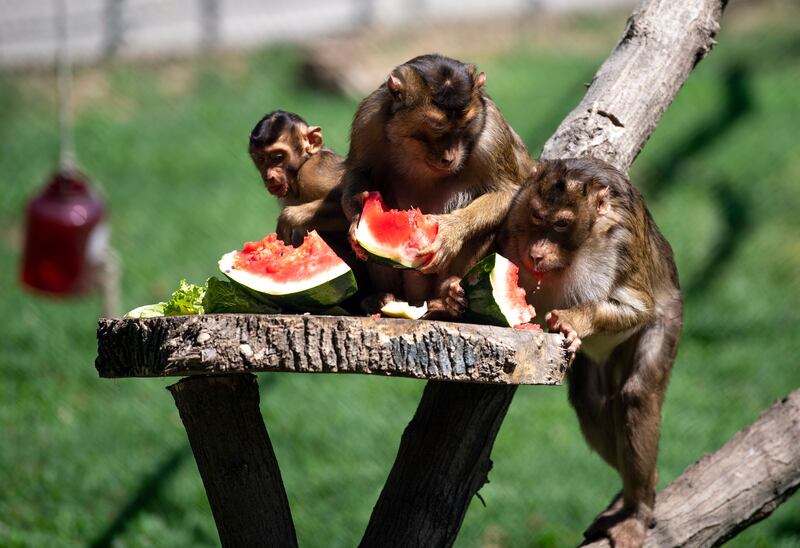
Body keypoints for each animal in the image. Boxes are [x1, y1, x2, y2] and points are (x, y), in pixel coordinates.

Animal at [340, 54, 535, 312]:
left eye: (464, 126)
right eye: (437, 127)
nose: (449, 156)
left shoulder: (492, 131)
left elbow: (506, 191)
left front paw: (451, 231)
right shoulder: (368, 119)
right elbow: (358, 170)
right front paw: (356, 212)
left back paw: (446, 298)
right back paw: (383, 297)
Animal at [446, 157, 682, 547]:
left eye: (561, 224)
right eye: (537, 217)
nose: (537, 252)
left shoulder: (623, 240)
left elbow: (637, 307)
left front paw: (573, 320)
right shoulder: (515, 214)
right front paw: (450, 295)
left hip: (669, 320)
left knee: (638, 394)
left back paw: (638, 508)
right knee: (592, 402)